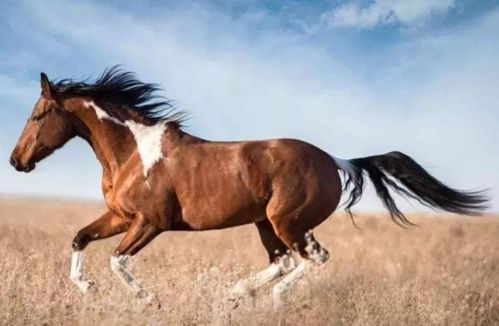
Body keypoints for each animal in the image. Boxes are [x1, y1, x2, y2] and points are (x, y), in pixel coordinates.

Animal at [9, 67, 490, 308]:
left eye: (37, 115)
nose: (16, 161)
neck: (132, 152)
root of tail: (335, 161)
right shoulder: (120, 216)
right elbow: (79, 238)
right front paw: (86, 289)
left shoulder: (150, 222)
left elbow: (116, 260)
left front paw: (147, 299)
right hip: (265, 224)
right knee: (284, 261)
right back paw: (236, 292)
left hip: (286, 221)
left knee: (311, 258)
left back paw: (268, 298)